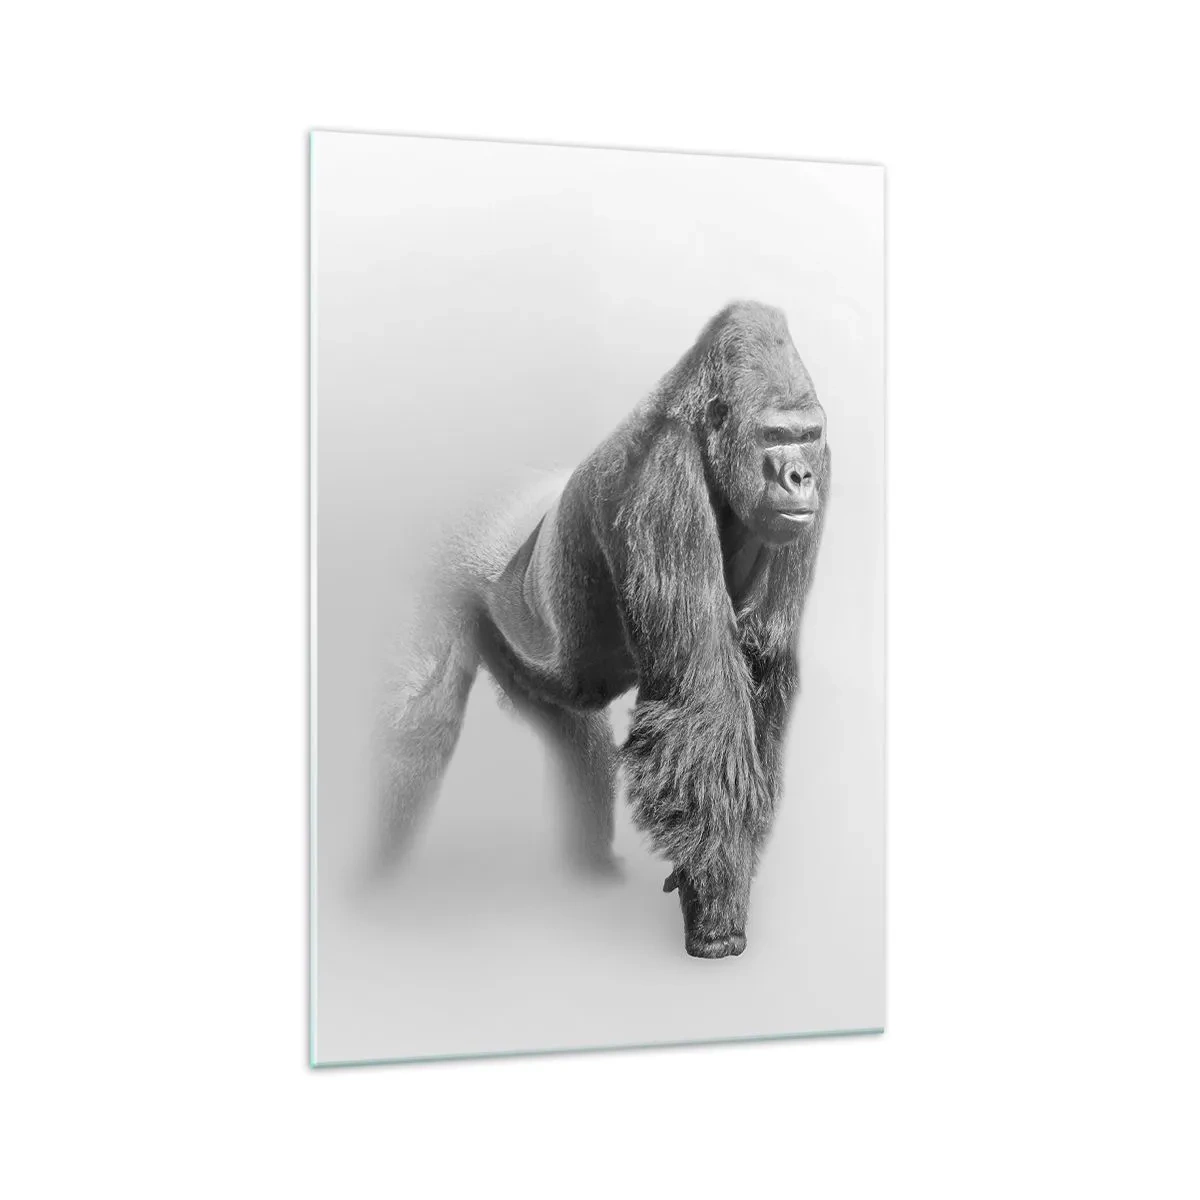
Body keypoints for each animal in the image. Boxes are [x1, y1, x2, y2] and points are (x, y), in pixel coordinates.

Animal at [375, 300, 830, 958]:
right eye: (775, 436)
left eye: (808, 436)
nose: (800, 478)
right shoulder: (662, 483)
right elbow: (706, 696)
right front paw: (719, 919)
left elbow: (764, 670)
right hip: (440, 561)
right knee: (416, 722)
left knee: (576, 742)